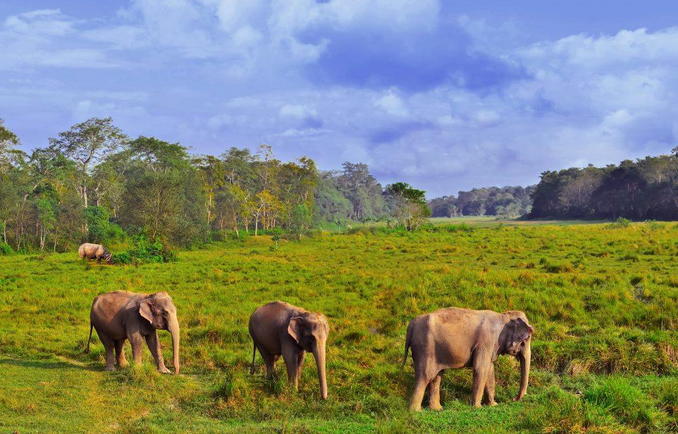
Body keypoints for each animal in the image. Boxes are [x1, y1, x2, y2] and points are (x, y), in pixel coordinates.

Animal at [403, 307, 534, 411]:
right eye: (525, 340)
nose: (513, 398)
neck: (502, 316)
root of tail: (412, 324)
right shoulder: (486, 341)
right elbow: (481, 368)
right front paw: (477, 407)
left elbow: (489, 370)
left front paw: (493, 405)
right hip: (425, 347)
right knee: (426, 376)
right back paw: (416, 411)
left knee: (436, 376)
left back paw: (437, 409)